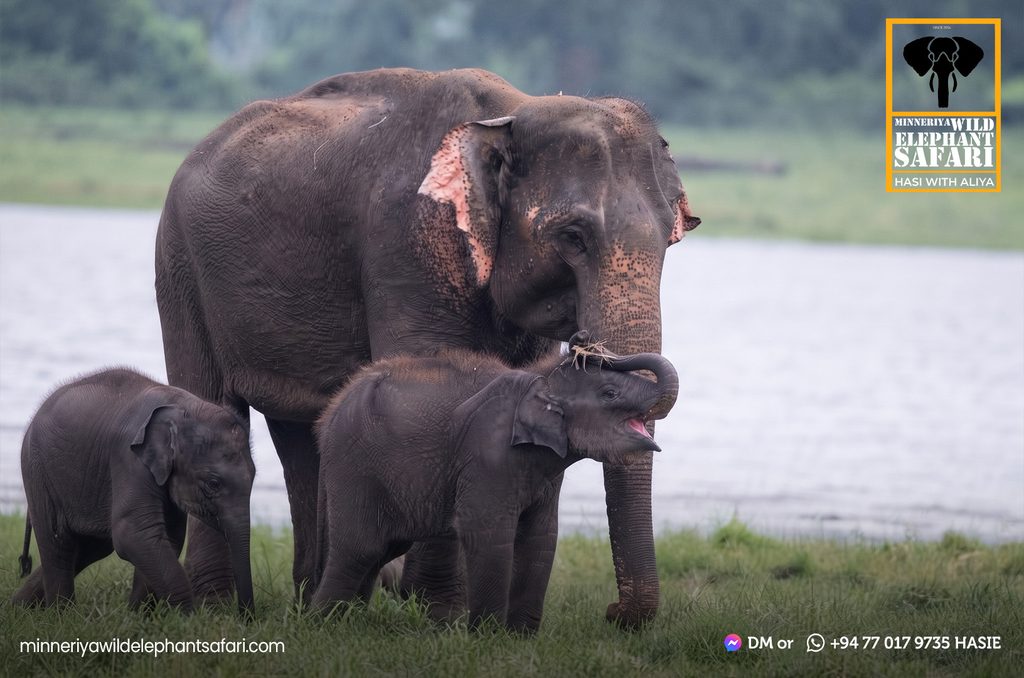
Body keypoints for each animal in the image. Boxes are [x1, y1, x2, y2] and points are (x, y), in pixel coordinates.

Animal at [10, 368, 255, 613]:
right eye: (213, 483)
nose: (245, 618)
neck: (185, 407)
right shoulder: (128, 458)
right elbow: (133, 532)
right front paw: (188, 618)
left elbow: (166, 536)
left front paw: (138, 615)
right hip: (37, 470)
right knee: (58, 543)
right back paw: (61, 613)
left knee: (89, 548)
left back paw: (21, 608)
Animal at [310, 335, 679, 632]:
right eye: (609, 393)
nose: (581, 339)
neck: (541, 380)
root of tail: (328, 416)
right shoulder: (487, 454)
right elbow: (488, 535)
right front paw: (487, 638)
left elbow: (541, 537)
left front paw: (519, 638)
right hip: (354, 468)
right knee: (361, 549)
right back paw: (323, 627)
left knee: (382, 549)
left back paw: (349, 622)